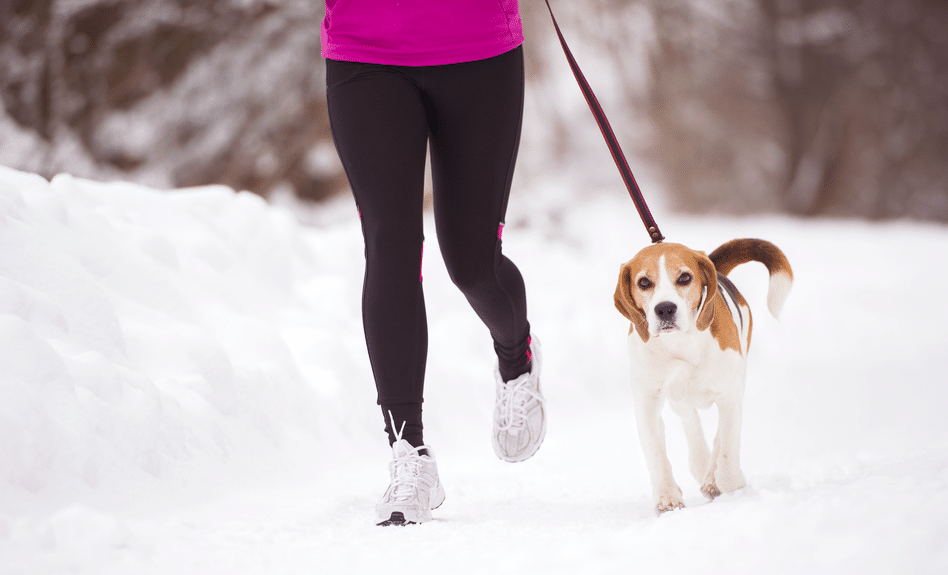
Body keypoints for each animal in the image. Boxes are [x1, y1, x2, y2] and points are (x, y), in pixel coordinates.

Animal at [616, 237, 792, 512]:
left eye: (685, 277)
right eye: (643, 282)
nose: (665, 309)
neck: (680, 343)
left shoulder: (729, 394)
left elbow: (728, 443)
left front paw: (729, 483)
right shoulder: (647, 401)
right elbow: (656, 453)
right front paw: (667, 497)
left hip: (738, 381)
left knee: (721, 435)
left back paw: (712, 478)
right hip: (679, 398)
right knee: (691, 423)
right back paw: (701, 465)